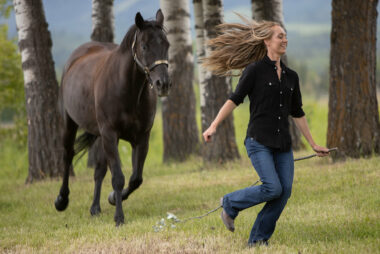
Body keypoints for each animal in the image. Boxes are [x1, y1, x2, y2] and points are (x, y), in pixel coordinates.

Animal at [54, 9, 170, 226]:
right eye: (144, 46)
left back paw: (95, 207)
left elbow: (135, 178)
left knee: (99, 170)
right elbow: (118, 177)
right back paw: (61, 200)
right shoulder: (110, 134)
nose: (163, 84)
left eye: (166, 44)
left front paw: (113, 198)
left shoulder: (141, 138)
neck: (127, 90)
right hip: (70, 124)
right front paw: (119, 217)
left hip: (100, 136)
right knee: (67, 156)